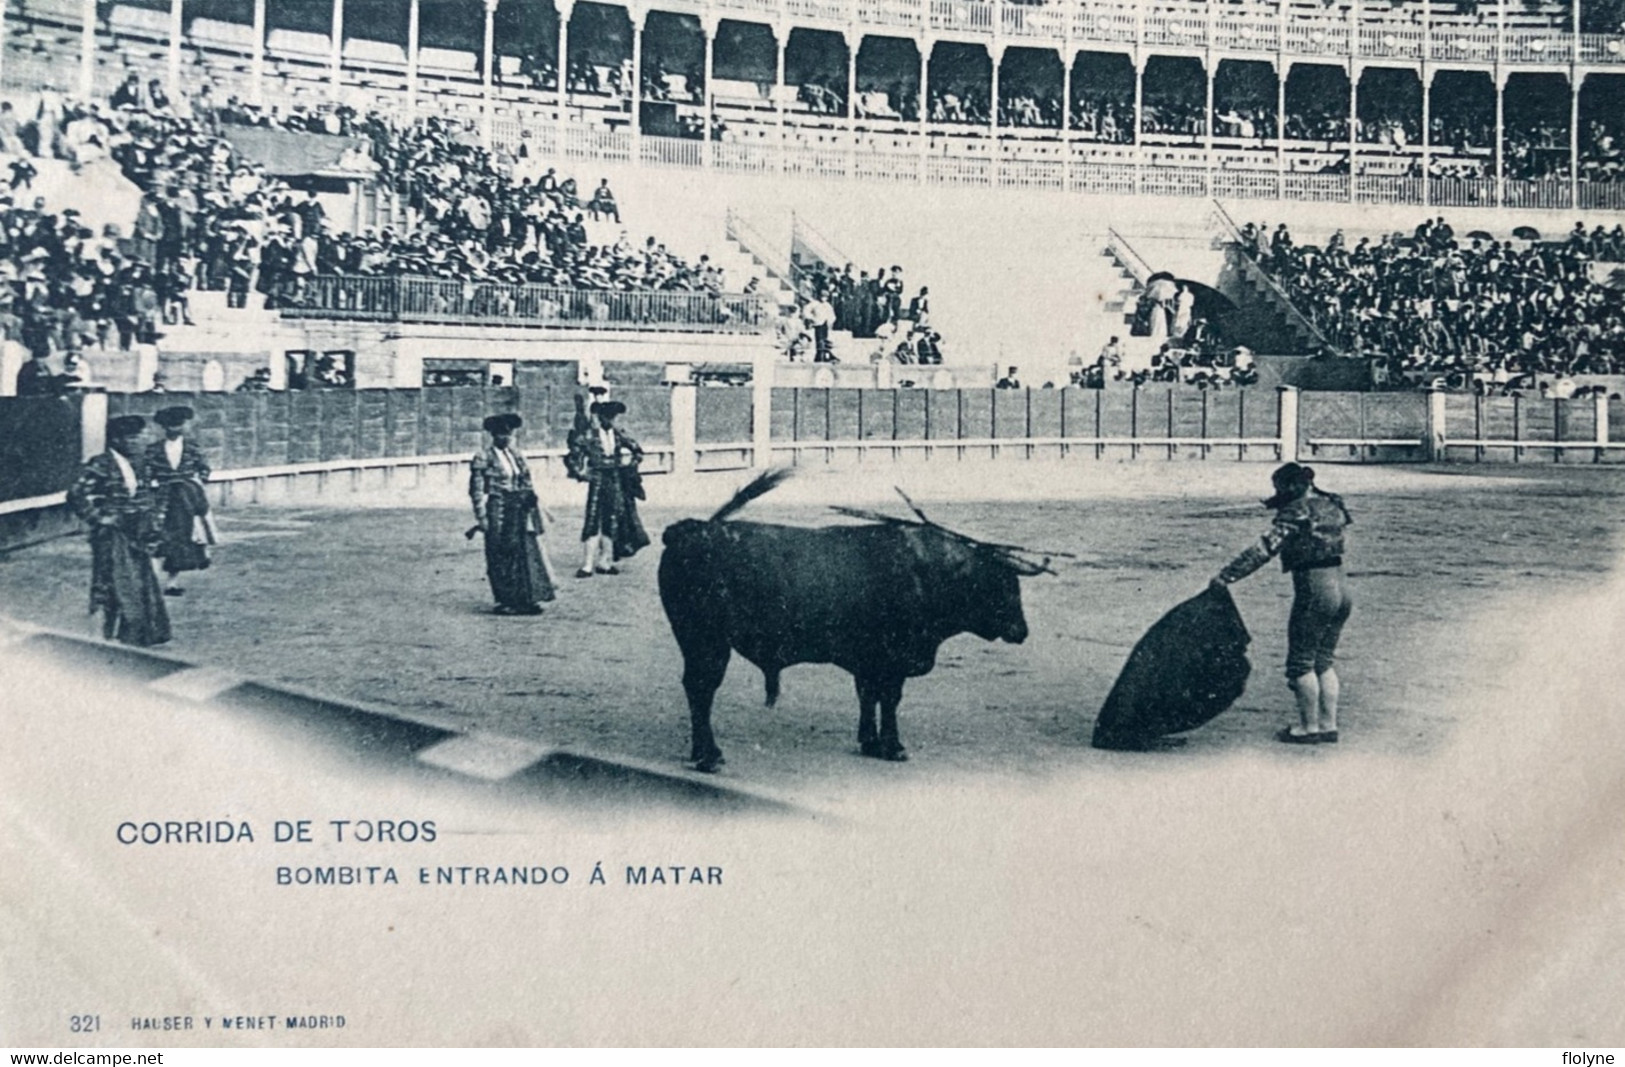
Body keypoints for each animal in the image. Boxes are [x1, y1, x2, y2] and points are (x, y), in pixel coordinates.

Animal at [656, 513, 1027, 769]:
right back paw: (709, 756)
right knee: (702, 689)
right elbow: (889, 700)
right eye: (1003, 586)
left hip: (699, 644)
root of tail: (691, 531)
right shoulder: (892, 662)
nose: (1022, 631)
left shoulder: (869, 662)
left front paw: (870, 743)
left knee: (696, 689)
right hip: (707, 644)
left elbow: (868, 697)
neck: (928, 570)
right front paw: (893, 747)